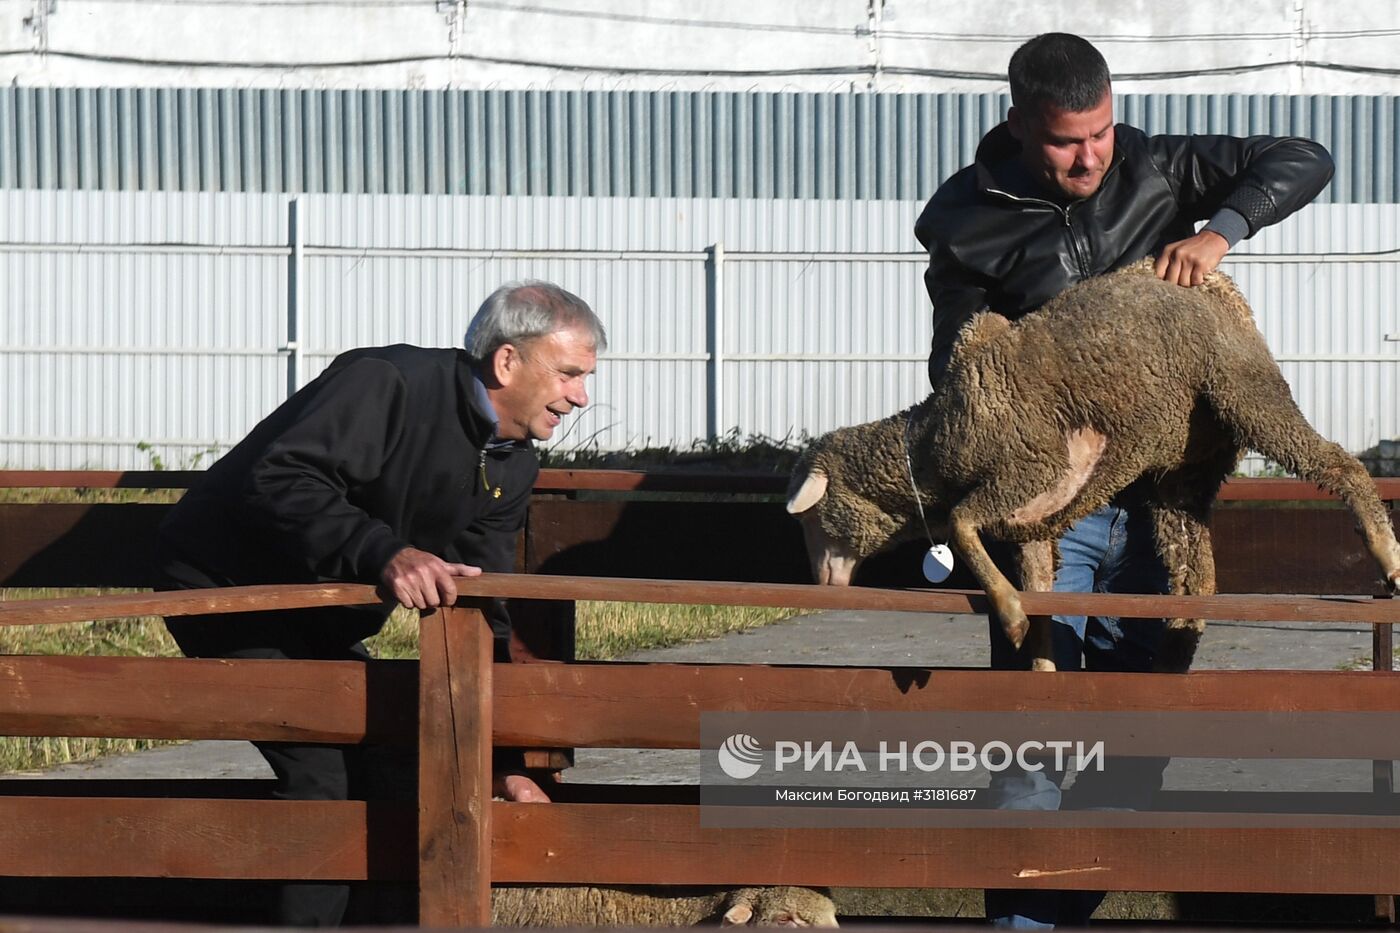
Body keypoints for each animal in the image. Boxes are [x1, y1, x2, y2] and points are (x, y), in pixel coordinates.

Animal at [784, 257, 1400, 672]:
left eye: (811, 515)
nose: (821, 583)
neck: (934, 443)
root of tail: (1214, 284)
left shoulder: (1033, 466)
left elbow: (960, 525)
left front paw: (1007, 614)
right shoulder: (1031, 523)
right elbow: (1040, 593)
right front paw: (1039, 660)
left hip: (1245, 390)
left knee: (1342, 466)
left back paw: (1387, 553)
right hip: (1183, 470)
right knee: (1196, 575)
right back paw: (1173, 651)